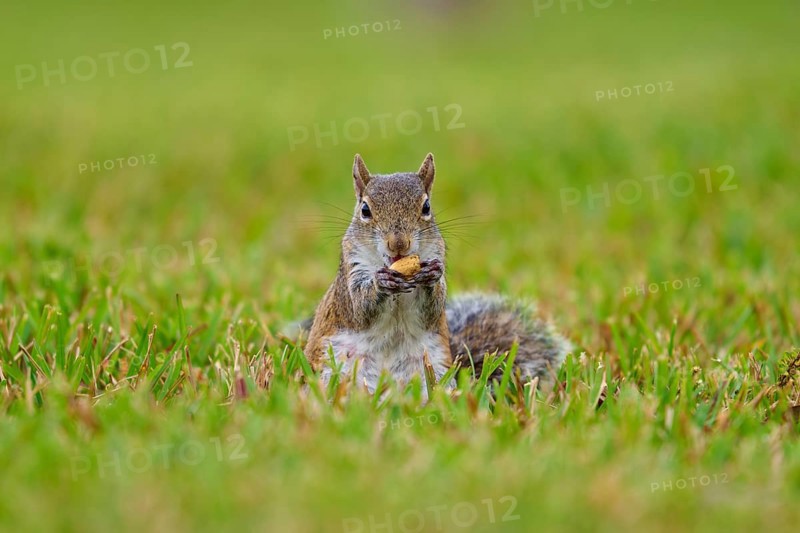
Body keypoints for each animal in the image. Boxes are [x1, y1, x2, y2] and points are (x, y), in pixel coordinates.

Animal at [304, 153, 571, 394]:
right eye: (365, 209)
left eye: (426, 207)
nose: (398, 244)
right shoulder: (351, 273)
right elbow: (359, 308)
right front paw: (381, 282)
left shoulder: (436, 256)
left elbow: (431, 308)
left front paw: (431, 277)